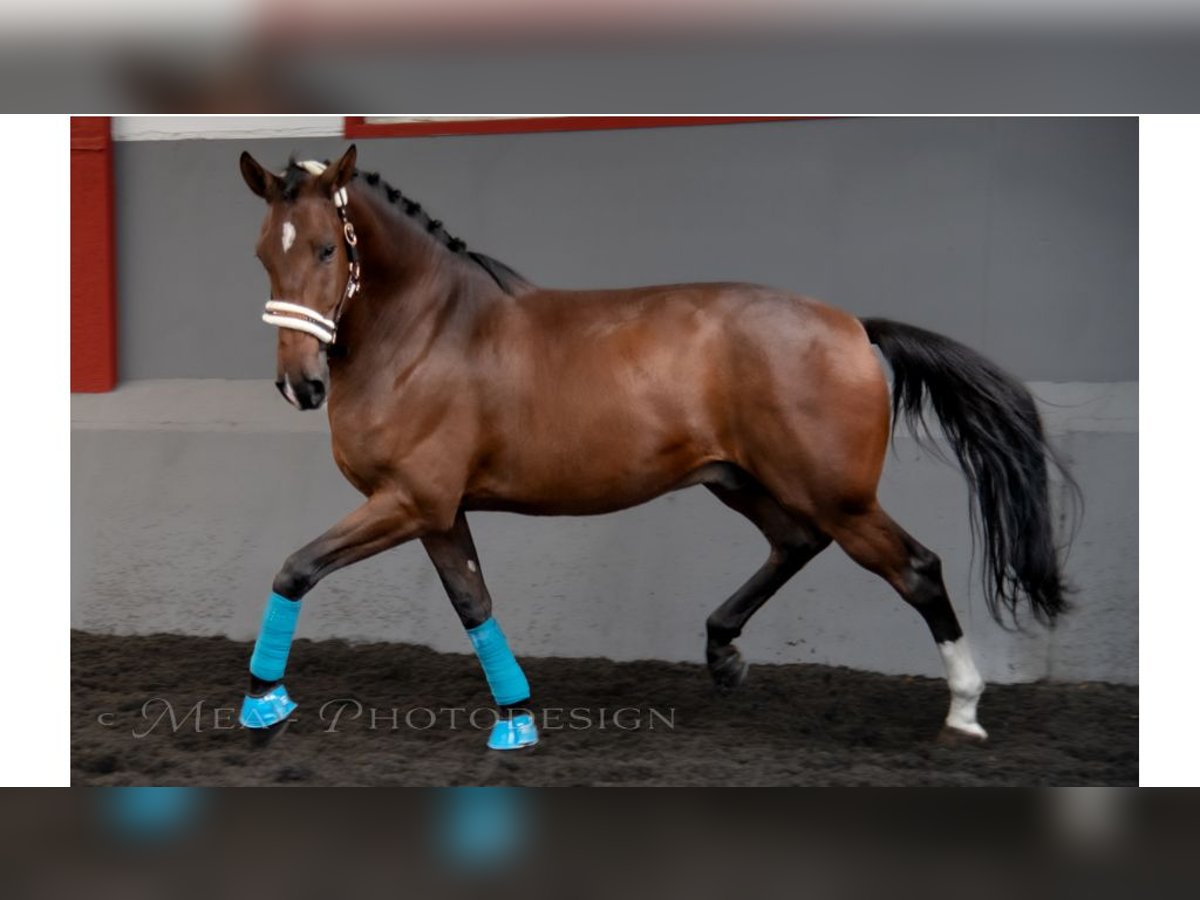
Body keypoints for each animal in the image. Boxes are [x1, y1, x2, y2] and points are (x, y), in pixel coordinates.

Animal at [231, 146, 1070, 753]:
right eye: (263, 254)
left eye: (326, 249)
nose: (300, 385)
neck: (426, 332)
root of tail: (855, 328)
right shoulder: (436, 510)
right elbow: (473, 603)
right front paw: (517, 719)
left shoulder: (409, 500)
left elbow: (296, 568)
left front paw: (263, 702)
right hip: (740, 479)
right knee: (797, 542)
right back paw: (723, 653)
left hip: (837, 494)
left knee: (915, 568)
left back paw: (963, 713)